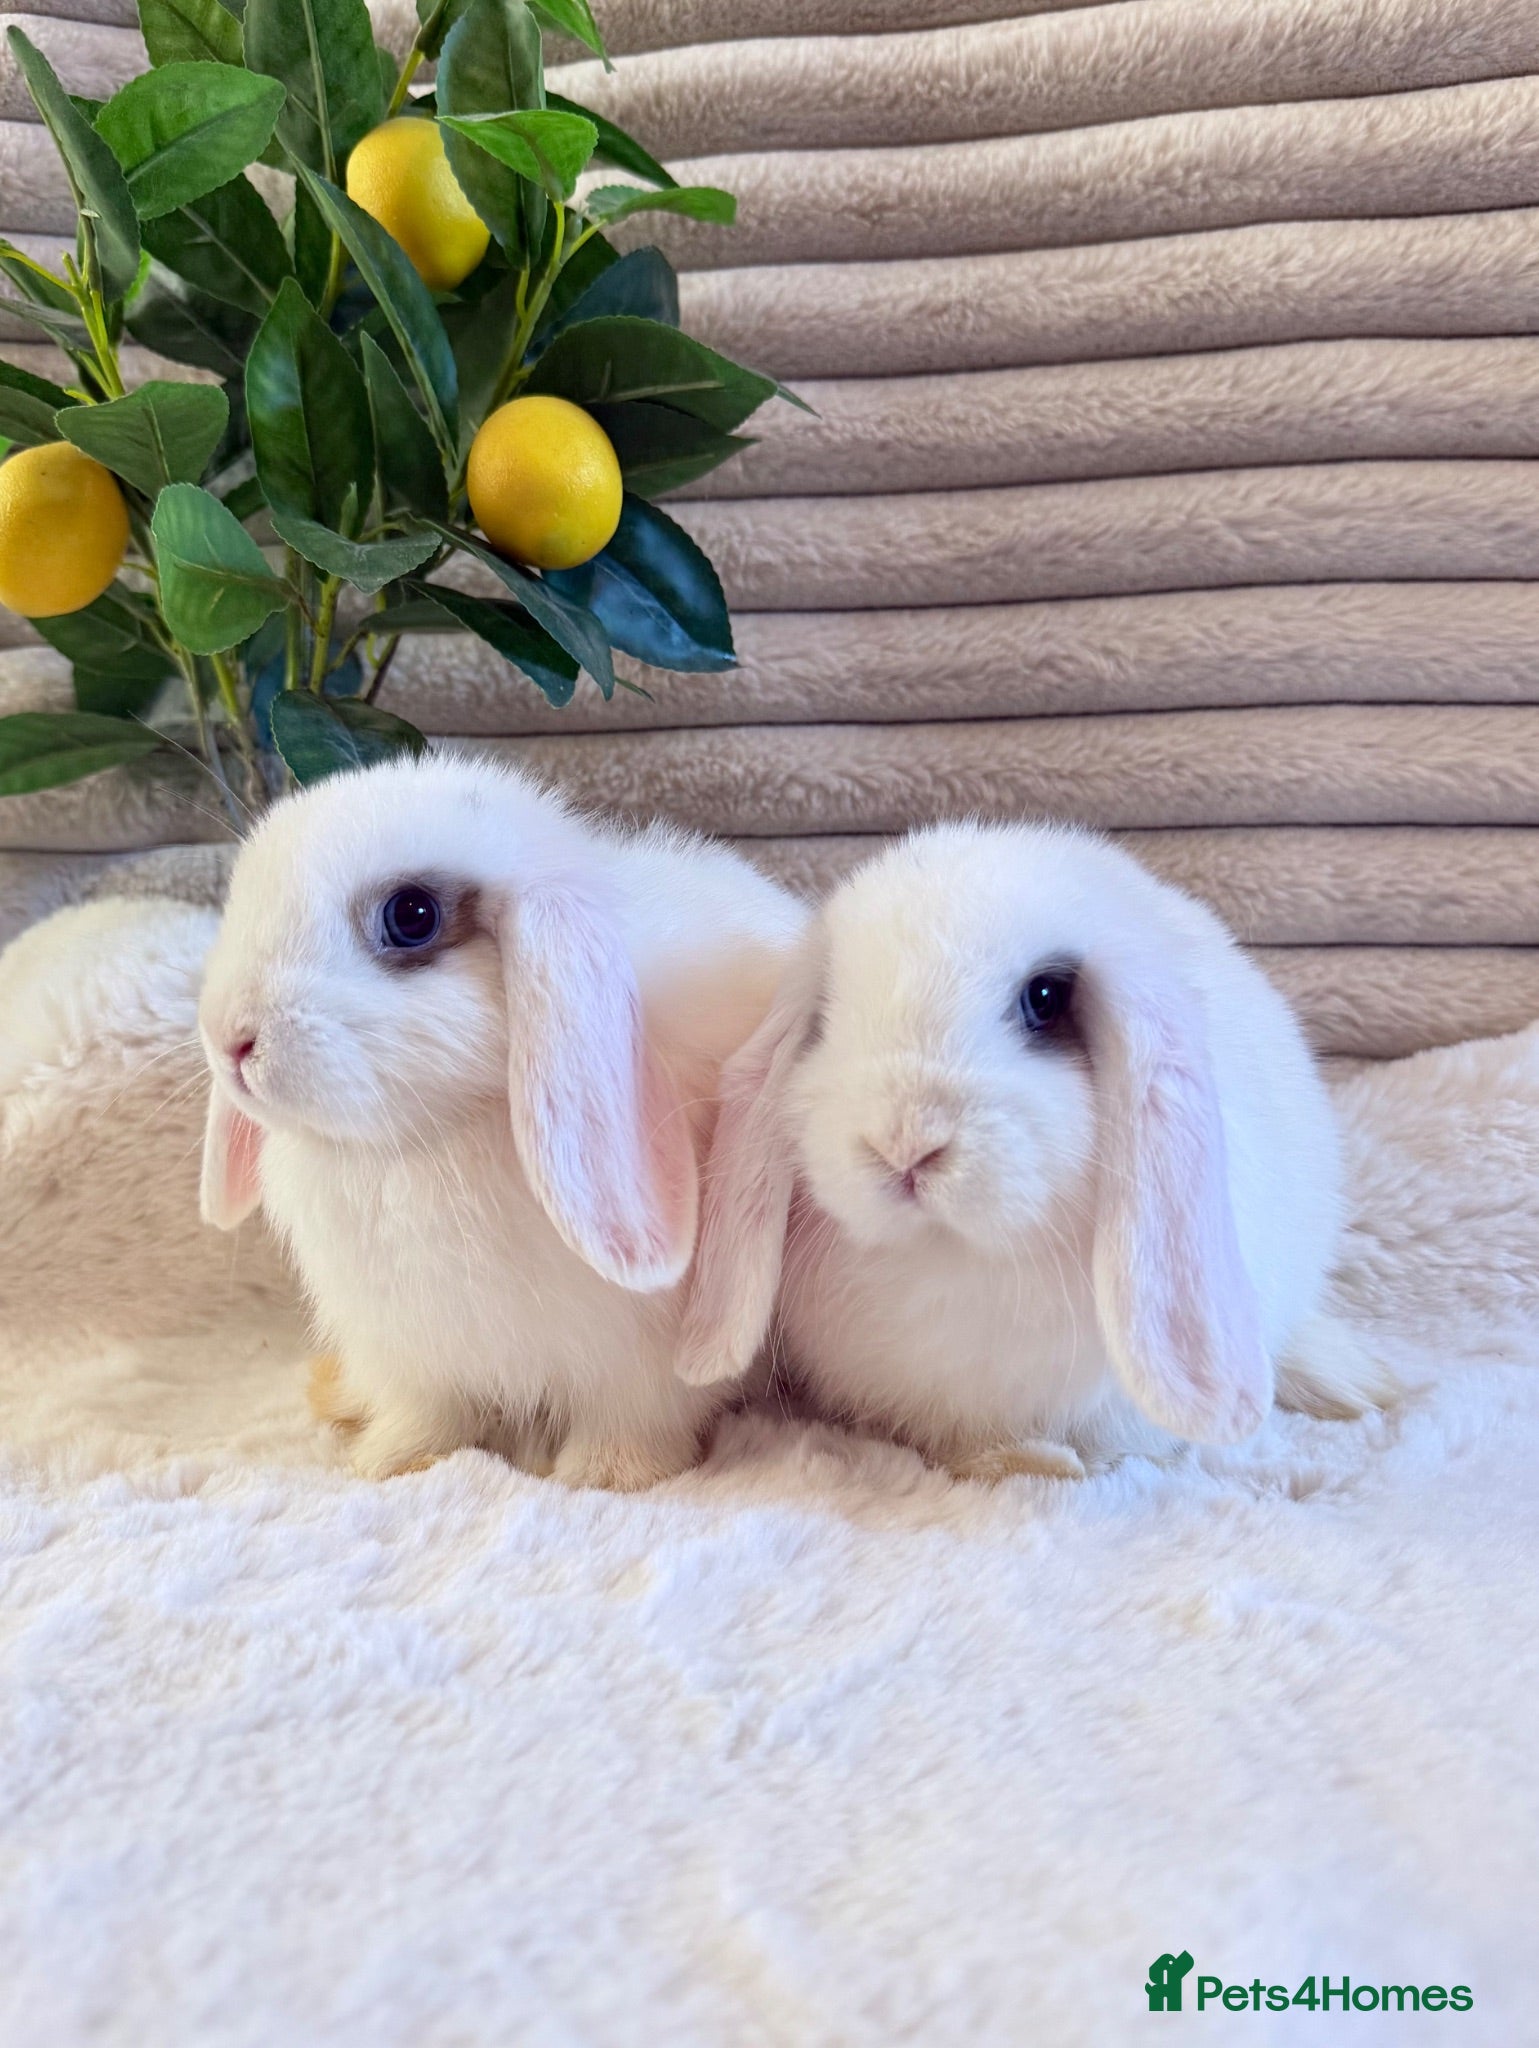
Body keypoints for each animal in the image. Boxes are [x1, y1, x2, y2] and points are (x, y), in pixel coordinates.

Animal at [197, 751, 806, 1487]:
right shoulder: (414, 1356)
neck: (431, 1141)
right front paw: (393, 1463)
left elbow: (633, 1420)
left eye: (412, 915)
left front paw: (604, 1476)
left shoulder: (642, 1365)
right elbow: (428, 1415)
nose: (229, 1038)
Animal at [677, 821, 1398, 1479]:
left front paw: (1055, 1464)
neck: (957, 1255)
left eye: (1045, 998)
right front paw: (1022, 1462)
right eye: (824, 1013)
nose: (903, 1144)